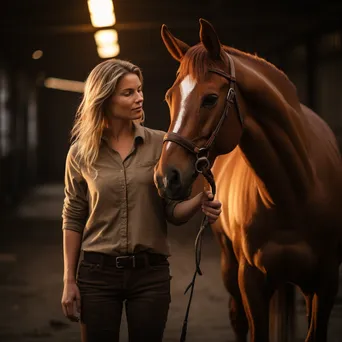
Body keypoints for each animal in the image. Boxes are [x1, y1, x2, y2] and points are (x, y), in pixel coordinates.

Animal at [154, 18, 342, 342]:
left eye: (210, 99)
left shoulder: (326, 282)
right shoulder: (251, 280)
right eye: (170, 98)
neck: (295, 194)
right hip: (230, 266)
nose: (166, 177)